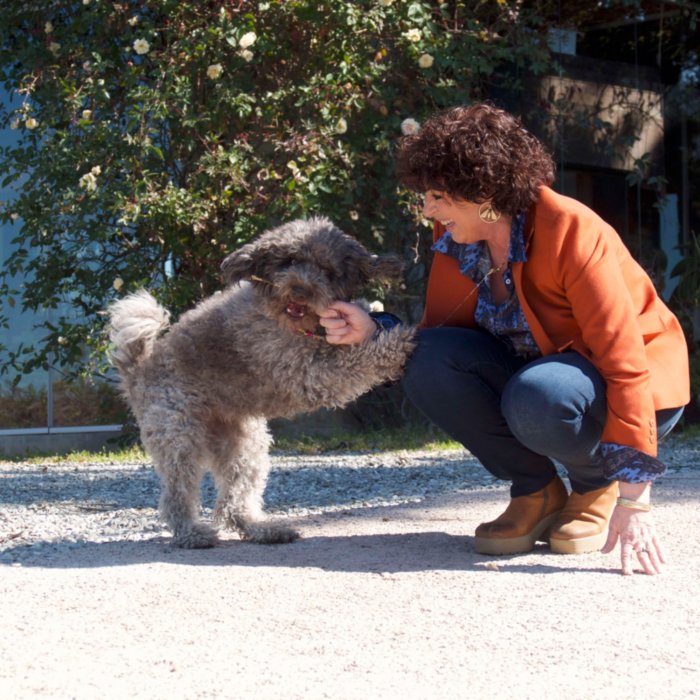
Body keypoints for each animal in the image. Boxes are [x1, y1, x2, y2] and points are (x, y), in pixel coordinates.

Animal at [108, 217, 416, 548]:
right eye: (289, 260)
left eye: (328, 270)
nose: (300, 289)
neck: (294, 323)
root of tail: (139, 368)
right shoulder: (307, 373)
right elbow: (357, 359)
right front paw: (398, 342)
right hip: (179, 436)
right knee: (176, 495)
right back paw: (192, 534)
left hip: (245, 446)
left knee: (233, 502)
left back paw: (263, 530)